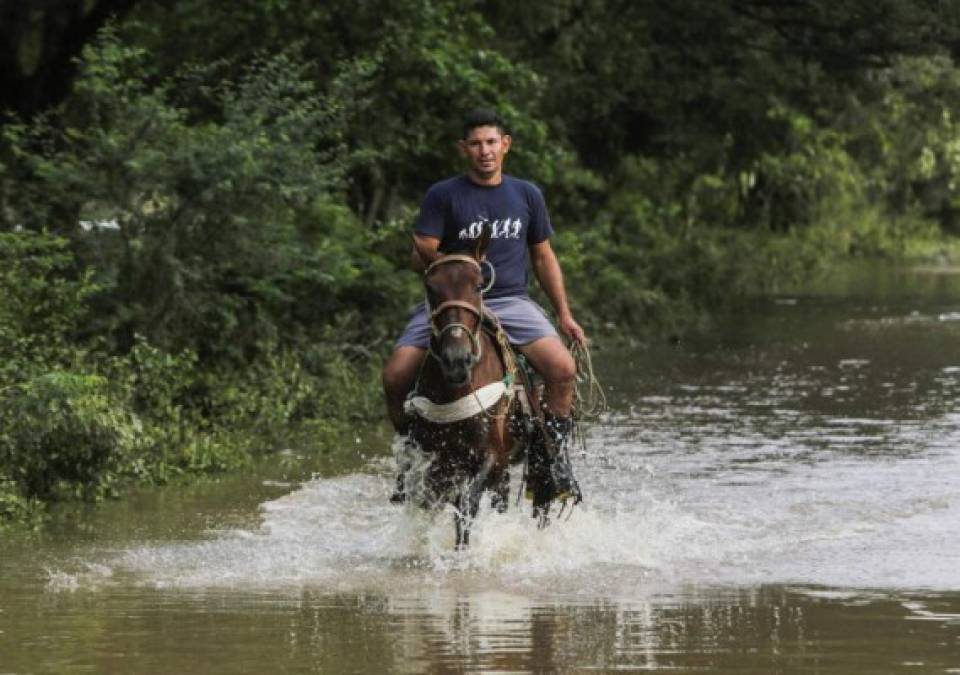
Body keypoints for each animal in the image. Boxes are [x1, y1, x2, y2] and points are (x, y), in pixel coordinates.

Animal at [402, 228, 520, 548]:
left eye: (479, 285)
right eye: (431, 288)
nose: (456, 359)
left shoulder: (491, 456)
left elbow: (467, 505)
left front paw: (462, 552)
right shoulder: (435, 459)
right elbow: (435, 502)